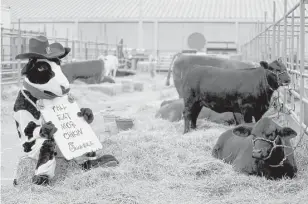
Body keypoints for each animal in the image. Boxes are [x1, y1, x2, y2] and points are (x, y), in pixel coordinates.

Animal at [13, 35, 119, 186]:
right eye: (41, 68)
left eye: (59, 64)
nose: (66, 88)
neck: (44, 95)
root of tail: (62, 157)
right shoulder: (23, 106)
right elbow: (29, 129)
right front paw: (47, 128)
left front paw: (87, 113)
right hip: (36, 151)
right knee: (46, 147)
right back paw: (40, 178)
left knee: (86, 155)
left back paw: (103, 162)